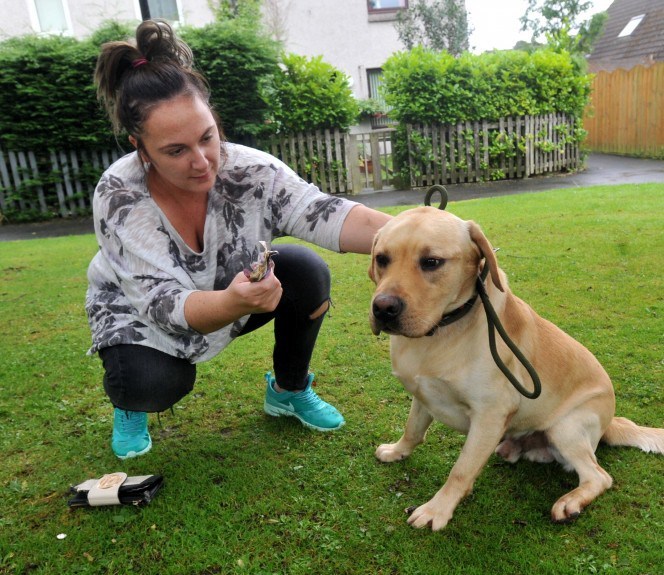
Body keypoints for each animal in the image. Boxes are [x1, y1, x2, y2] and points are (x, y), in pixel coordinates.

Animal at [368, 206, 664, 532]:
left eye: (432, 262)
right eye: (382, 259)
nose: (383, 309)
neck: (443, 331)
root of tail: (610, 422)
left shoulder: (490, 414)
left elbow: (461, 469)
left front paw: (437, 509)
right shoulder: (423, 394)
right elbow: (412, 431)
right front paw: (397, 451)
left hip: (566, 426)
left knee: (598, 476)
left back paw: (570, 502)